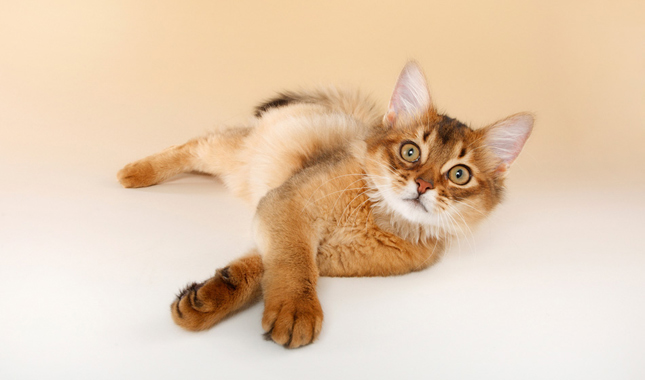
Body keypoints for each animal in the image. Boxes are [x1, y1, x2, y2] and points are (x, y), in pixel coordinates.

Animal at [117, 61, 532, 348]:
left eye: (459, 174)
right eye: (410, 152)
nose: (423, 185)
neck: (374, 218)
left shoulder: (323, 252)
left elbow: (267, 266)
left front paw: (209, 296)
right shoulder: (287, 206)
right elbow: (293, 263)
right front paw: (296, 309)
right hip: (231, 151)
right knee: (191, 145)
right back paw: (134, 172)